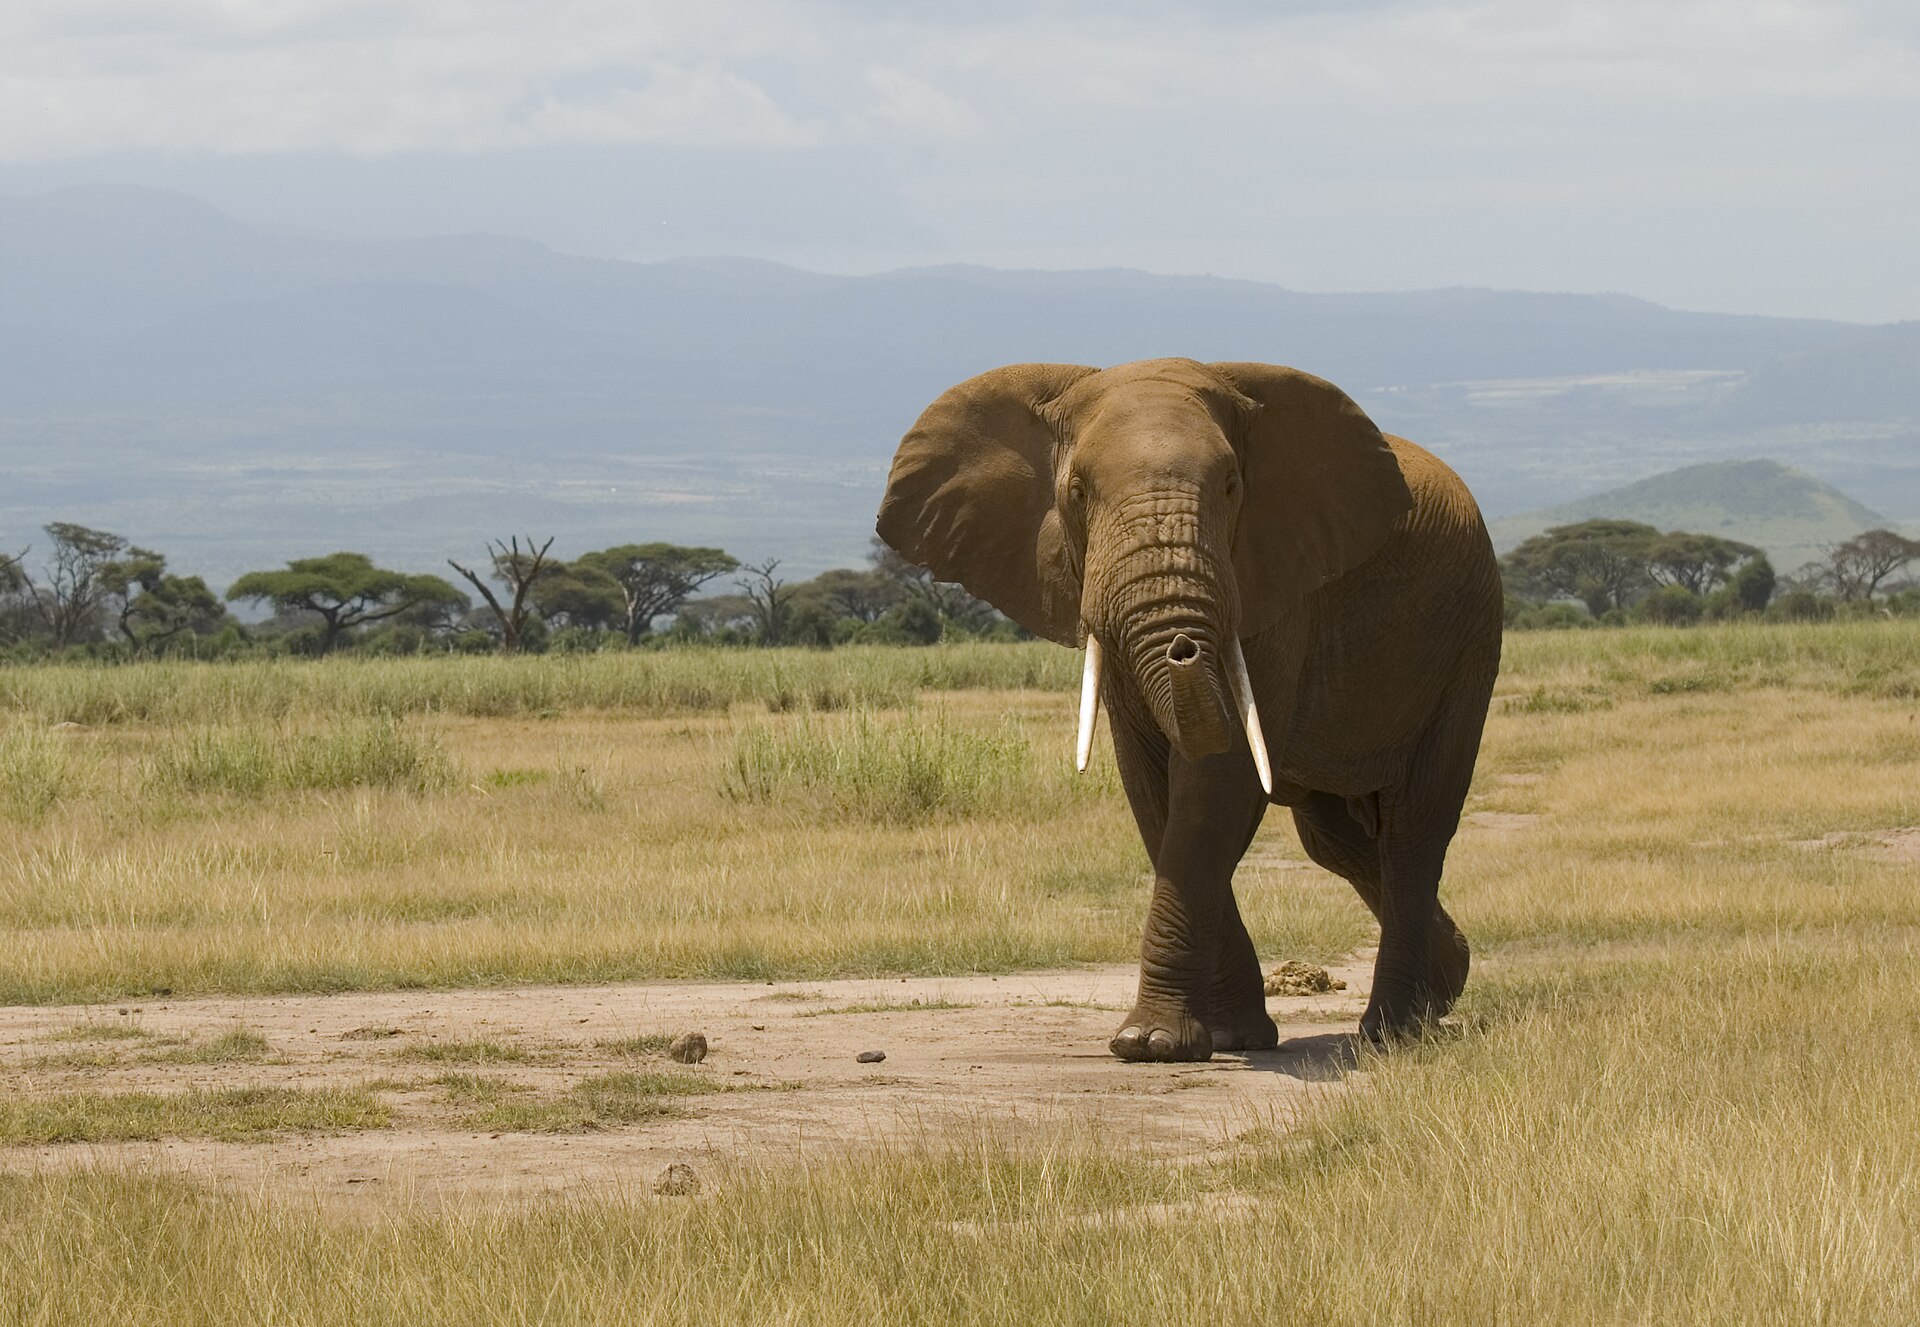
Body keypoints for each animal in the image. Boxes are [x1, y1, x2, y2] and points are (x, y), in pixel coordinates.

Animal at [876, 358, 1503, 1061]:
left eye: (1231, 487)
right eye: (1078, 491)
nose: (1182, 648)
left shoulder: (1276, 589)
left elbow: (1215, 786)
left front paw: (1149, 1043)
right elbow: (1154, 791)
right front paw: (1225, 1036)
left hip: (1470, 639)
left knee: (1413, 829)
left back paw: (1392, 1031)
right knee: (1337, 841)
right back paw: (1444, 983)